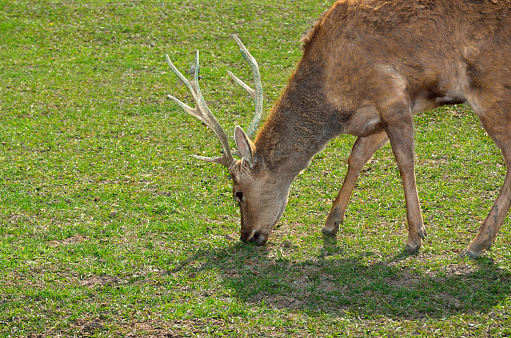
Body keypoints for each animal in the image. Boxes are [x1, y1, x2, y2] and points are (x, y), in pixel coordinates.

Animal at [166, 0, 510, 258]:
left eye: (237, 193)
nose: (247, 235)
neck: (337, 101)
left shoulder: (391, 95)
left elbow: (405, 162)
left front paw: (415, 236)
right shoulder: (383, 112)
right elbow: (356, 157)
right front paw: (331, 223)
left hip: (489, 89)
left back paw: (477, 243)